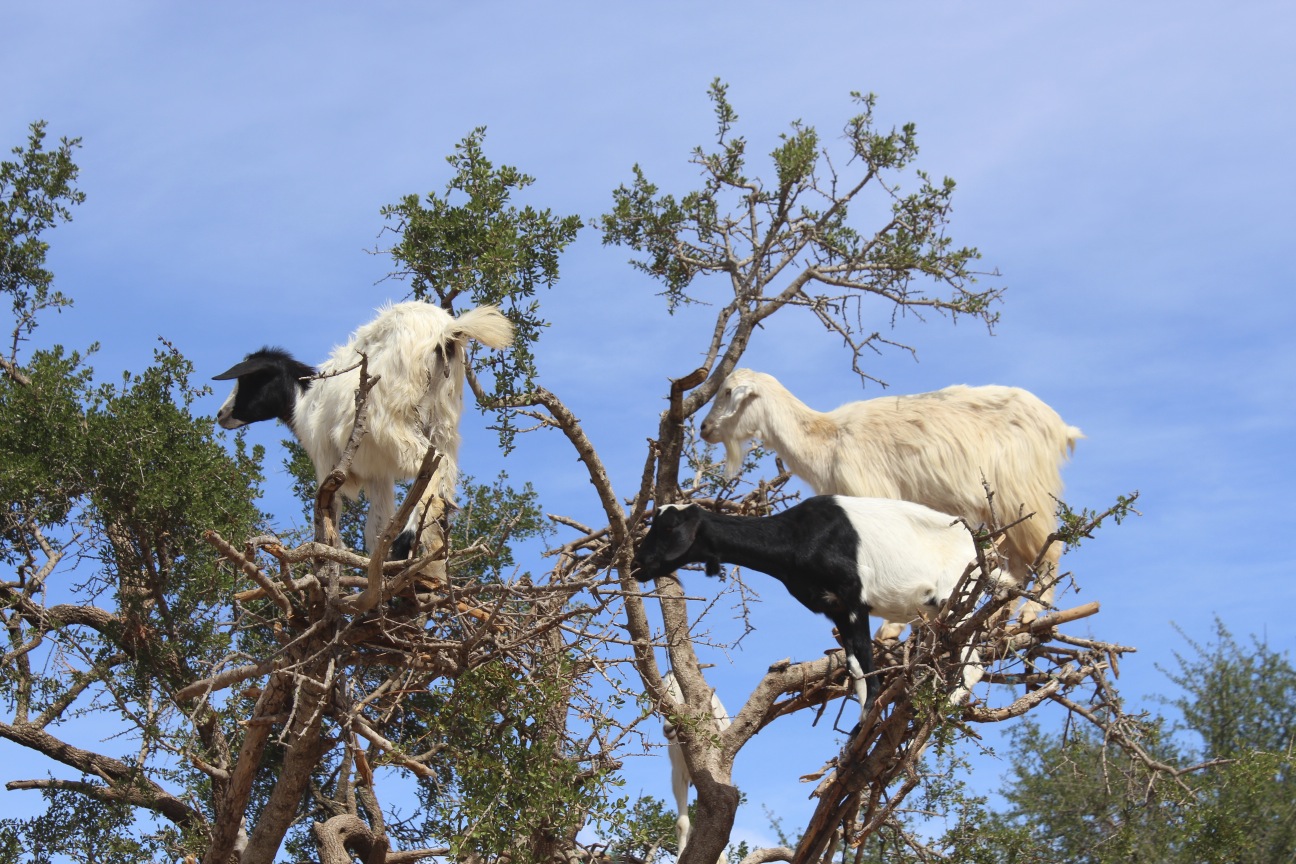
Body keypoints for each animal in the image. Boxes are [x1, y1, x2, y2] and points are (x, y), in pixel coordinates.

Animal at [215, 304, 513, 562]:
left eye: (249, 379)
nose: (220, 415)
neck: (304, 399)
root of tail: (444, 332)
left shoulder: (326, 463)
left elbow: (329, 516)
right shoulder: (378, 474)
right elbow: (376, 527)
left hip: (390, 421)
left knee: (429, 468)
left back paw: (408, 541)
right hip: (444, 422)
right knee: (444, 478)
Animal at [632, 500, 984, 730]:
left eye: (668, 527)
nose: (637, 564)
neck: (796, 536)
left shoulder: (853, 598)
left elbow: (868, 662)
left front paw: (867, 718)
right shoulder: (834, 608)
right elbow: (855, 666)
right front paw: (858, 729)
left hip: (957, 593)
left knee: (974, 659)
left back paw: (948, 701)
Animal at [705, 367, 1078, 632]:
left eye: (727, 392)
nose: (704, 428)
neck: (827, 441)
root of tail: (1061, 428)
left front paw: (892, 630)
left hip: (1024, 493)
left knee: (1050, 548)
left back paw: (1030, 613)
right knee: (1016, 563)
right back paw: (998, 618)